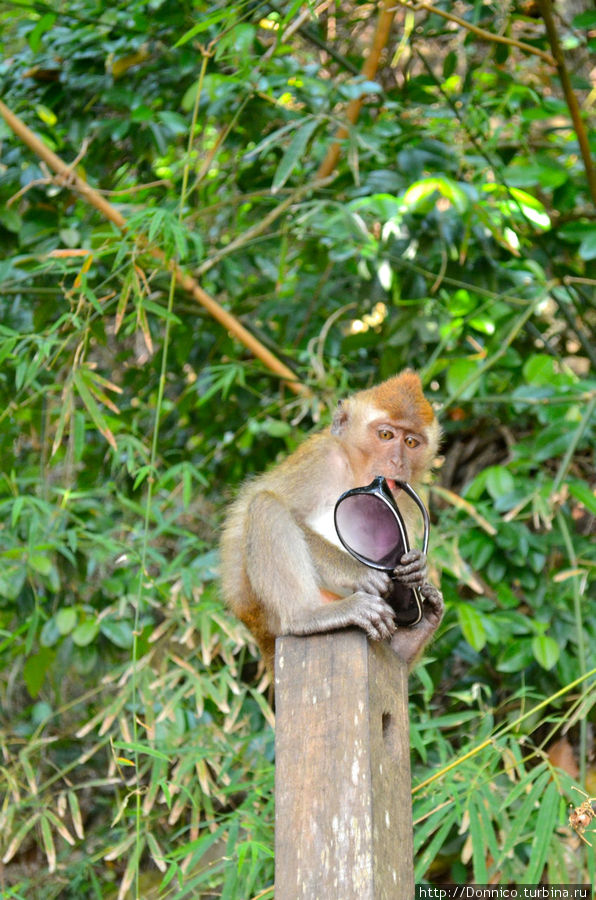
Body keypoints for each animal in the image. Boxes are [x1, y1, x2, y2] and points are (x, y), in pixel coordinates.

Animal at [219, 370, 442, 672]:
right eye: (386, 434)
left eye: (411, 442)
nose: (397, 462)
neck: (355, 472)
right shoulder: (321, 459)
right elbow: (255, 512)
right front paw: (358, 572)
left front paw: (417, 566)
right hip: (263, 612)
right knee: (265, 506)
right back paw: (306, 615)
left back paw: (409, 639)